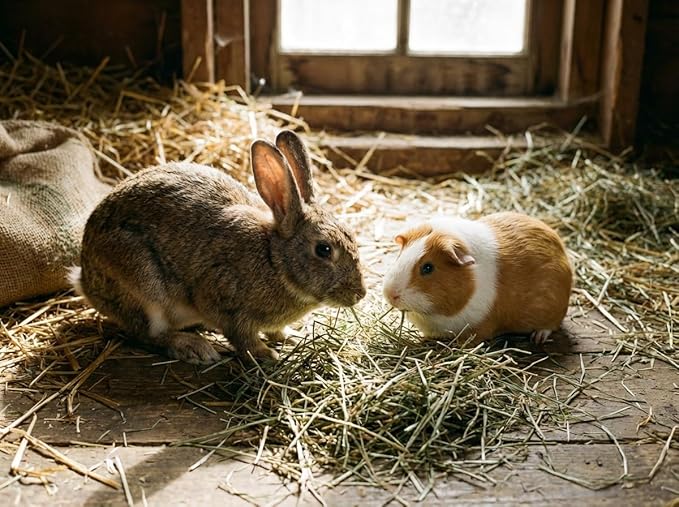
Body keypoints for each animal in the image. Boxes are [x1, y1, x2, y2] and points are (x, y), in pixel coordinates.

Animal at [69, 130, 366, 364]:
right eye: (324, 250)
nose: (359, 294)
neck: (274, 260)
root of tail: (86, 280)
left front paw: (289, 337)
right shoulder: (225, 302)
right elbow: (242, 337)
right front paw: (266, 354)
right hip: (142, 282)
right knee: (147, 333)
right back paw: (194, 348)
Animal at [382, 212, 573, 346]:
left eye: (428, 267)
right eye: (400, 255)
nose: (390, 294)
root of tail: (562, 252)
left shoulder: (480, 326)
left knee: (551, 326)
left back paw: (537, 338)